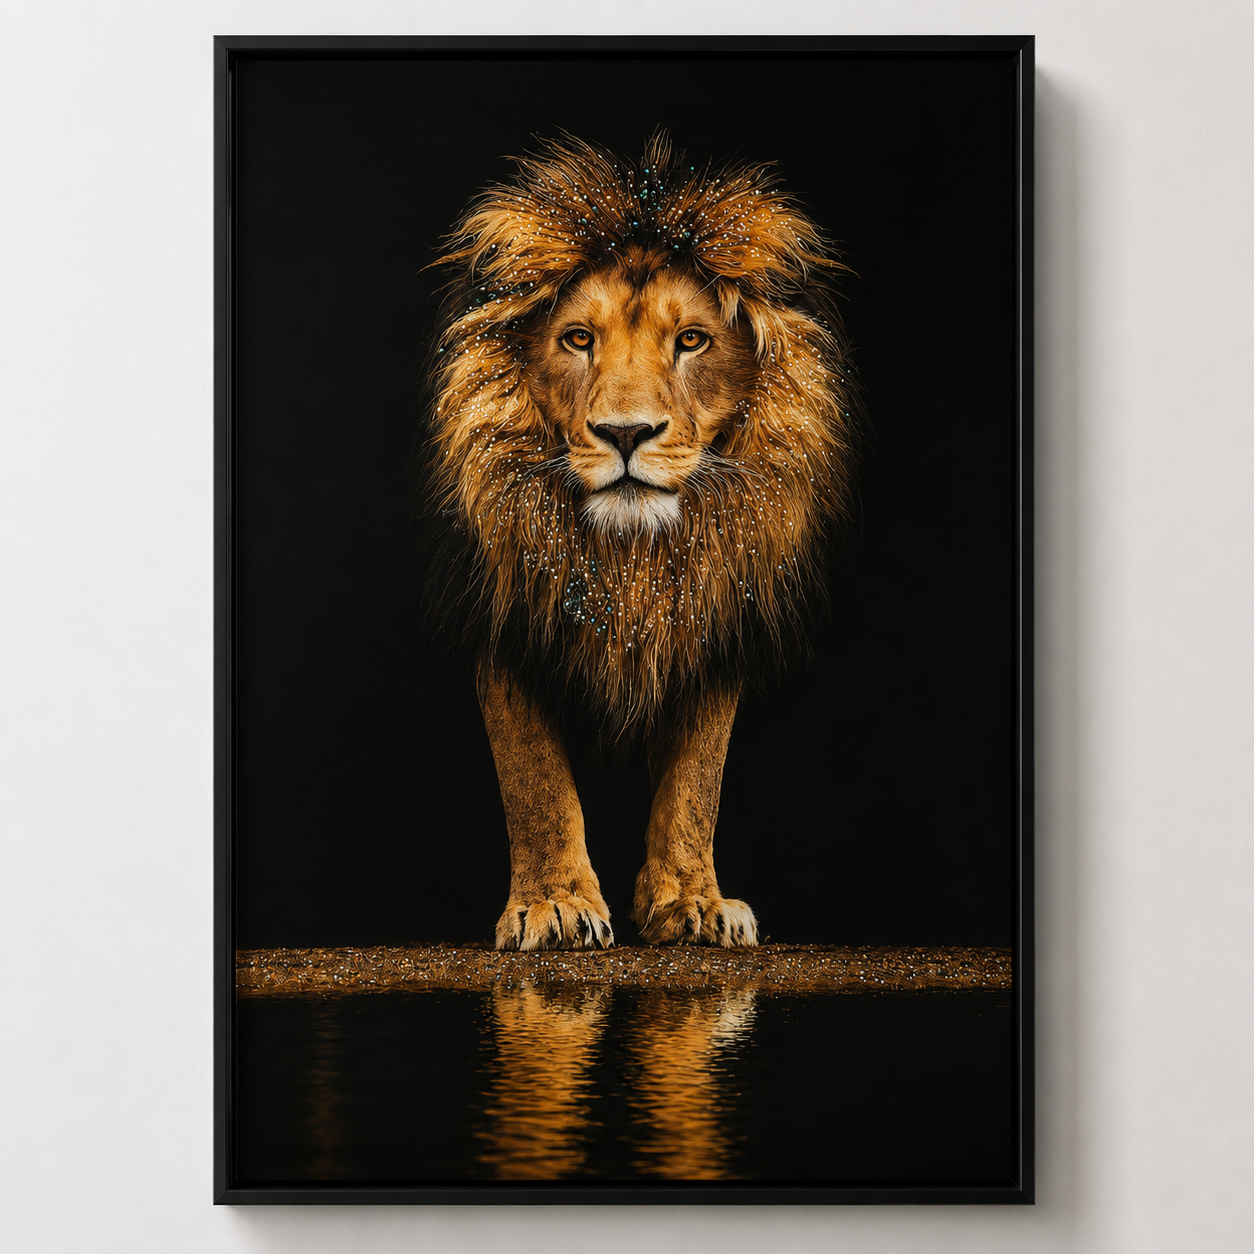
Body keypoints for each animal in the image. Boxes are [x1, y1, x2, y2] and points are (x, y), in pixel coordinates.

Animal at [423, 135, 856, 952]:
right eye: (577, 339)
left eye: (691, 341)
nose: (626, 434)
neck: (632, 558)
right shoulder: (507, 611)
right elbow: (533, 774)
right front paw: (555, 903)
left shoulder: (715, 609)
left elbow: (696, 780)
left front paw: (692, 902)